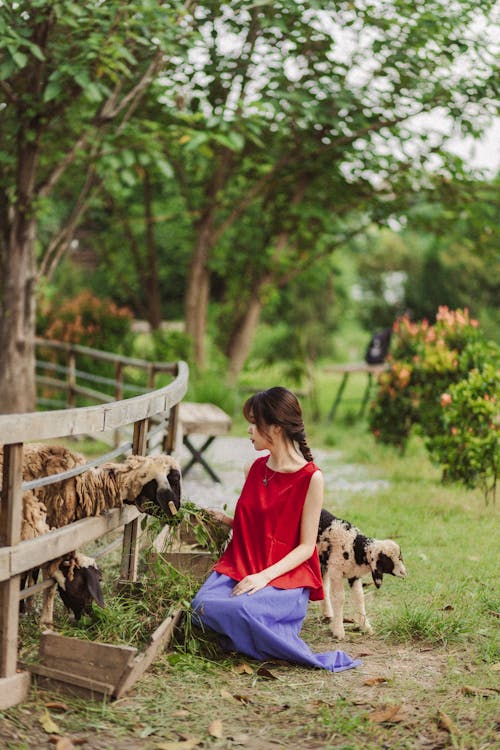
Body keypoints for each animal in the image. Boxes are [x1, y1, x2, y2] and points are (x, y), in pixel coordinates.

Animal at [316, 512, 406, 640]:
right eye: (388, 560)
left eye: (400, 557)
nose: (404, 572)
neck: (354, 547)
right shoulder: (336, 573)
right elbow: (339, 598)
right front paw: (338, 631)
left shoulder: (354, 575)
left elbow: (359, 598)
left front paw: (366, 627)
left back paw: (327, 613)